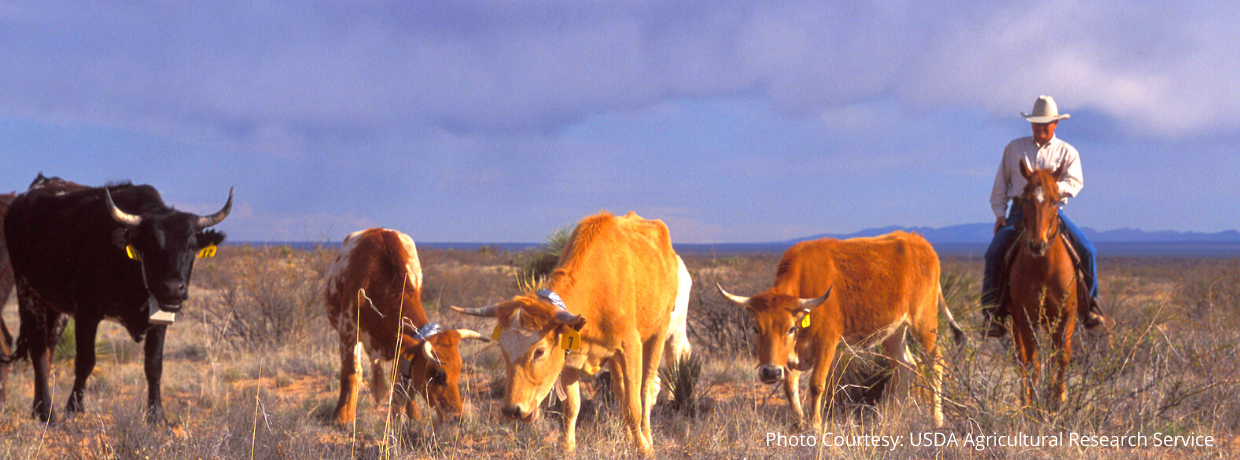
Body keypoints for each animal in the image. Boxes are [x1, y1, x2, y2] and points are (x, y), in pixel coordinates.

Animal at [3, 174, 231, 423]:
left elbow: (154, 366)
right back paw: (47, 412)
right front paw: (74, 409)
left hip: (55, 307)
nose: (173, 288)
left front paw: (156, 415)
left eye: (192, 246)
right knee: (38, 352)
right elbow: (85, 361)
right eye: (150, 245)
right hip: (28, 294)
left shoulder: (159, 318)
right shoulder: (86, 313)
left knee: (48, 350)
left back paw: (38, 409)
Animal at [323, 228, 487, 426]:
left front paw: (414, 416)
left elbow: (403, 380)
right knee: (357, 373)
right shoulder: (348, 332)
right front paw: (340, 417)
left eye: (460, 369)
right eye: (437, 374)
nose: (457, 417)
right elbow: (349, 375)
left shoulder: (401, 346)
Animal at [453, 211, 682, 456]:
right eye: (503, 351)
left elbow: (633, 407)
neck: (598, 289)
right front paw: (568, 449)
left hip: (659, 331)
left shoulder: (630, 346)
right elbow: (572, 408)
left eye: (539, 351)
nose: (511, 410)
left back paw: (647, 438)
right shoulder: (572, 357)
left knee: (646, 389)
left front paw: (644, 449)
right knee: (621, 390)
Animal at [717, 231, 964, 429]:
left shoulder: (827, 342)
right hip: (894, 331)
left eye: (791, 328)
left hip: (925, 324)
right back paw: (894, 416)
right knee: (905, 365)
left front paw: (816, 425)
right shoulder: (791, 356)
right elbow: (789, 387)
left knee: (935, 362)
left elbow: (816, 384)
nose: (769, 372)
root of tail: (920, 242)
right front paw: (799, 423)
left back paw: (936, 418)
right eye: (755, 328)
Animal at [1003, 158, 1078, 408]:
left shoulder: (1066, 316)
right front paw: (1034, 404)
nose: (1037, 245)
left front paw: (1058, 402)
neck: (1044, 270)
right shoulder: (1025, 318)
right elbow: (1032, 360)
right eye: (1024, 200)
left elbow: (1061, 358)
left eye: (1055, 201)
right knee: (1021, 358)